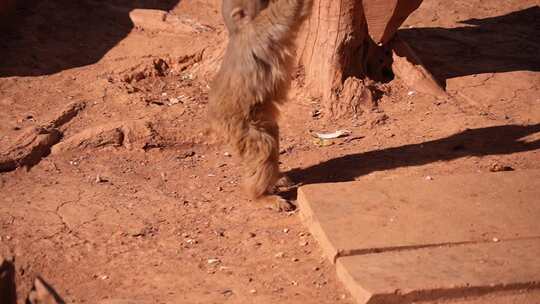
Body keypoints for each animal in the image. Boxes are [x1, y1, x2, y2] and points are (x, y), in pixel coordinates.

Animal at [209, 0, 312, 211]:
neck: (239, 31)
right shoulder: (261, 30)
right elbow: (289, 12)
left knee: (272, 133)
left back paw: (276, 178)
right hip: (239, 125)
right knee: (263, 146)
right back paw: (260, 196)